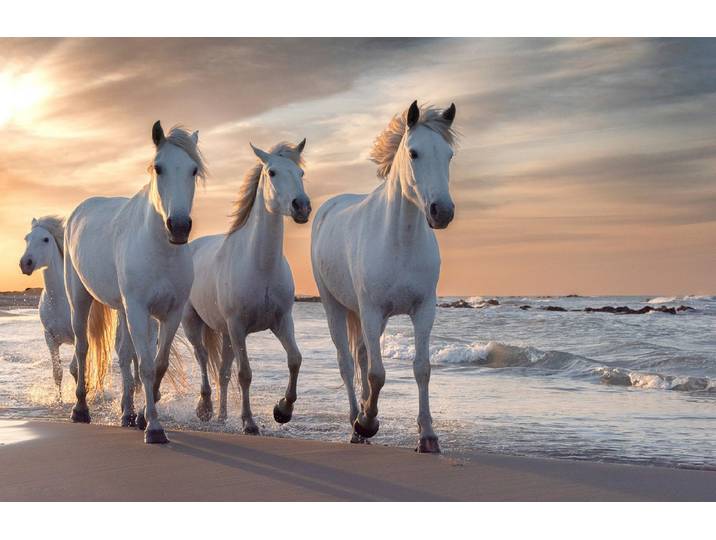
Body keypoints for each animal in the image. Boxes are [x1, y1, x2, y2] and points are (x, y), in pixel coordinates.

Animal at [20, 216, 141, 401]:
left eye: (45, 239)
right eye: (27, 238)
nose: (25, 263)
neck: (58, 300)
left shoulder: (79, 335)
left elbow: (75, 369)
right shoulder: (50, 338)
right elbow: (58, 373)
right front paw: (60, 400)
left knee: (132, 355)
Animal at [64, 121, 205, 443]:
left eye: (193, 170)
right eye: (159, 168)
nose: (179, 227)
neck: (160, 251)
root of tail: (79, 210)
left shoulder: (170, 313)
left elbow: (158, 364)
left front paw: (142, 417)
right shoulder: (139, 310)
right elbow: (147, 367)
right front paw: (154, 428)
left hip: (122, 309)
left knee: (124, 354)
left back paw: (127, 413)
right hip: (79, 298)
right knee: (82, 347)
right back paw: (80, 409)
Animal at [181, 139, 310, 434]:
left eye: (300, 173)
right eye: (272, 172)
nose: (301, 206)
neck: (260, 266)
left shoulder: (281, 321)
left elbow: (294, 359)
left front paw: (282, 410)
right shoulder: (238, 326)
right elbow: (245, 374)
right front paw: (249, 422)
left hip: (226, 334)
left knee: (223, 372)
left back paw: (221, 416)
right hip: (194, 323)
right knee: (203, 358)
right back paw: (205, 409)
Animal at [311, 101, 457, 453]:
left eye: (449, 155)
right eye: (414, 153)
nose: (442, 212)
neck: (400, 241)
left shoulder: (423, 310)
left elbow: (422, 368)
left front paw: (427, 436)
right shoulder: (372, 310)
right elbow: (377, 374)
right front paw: (367, 422)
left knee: (362, 356)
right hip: (335, 307)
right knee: (347, 363)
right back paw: (356, 423)